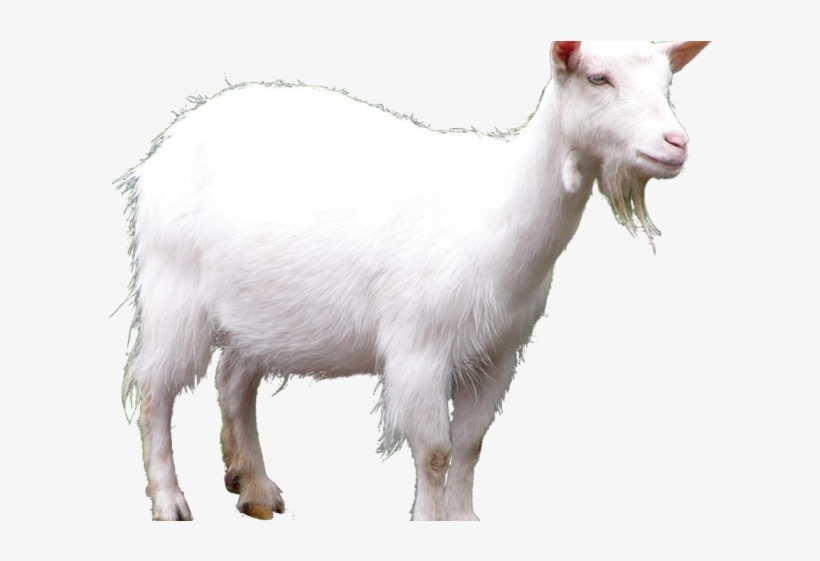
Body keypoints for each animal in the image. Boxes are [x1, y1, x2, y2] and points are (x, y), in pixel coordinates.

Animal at [115, 40, 710, 521]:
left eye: (667, 83)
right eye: (597, 78)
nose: (676, 143)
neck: (500, 204)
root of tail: (171, 139)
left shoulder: (496, 353)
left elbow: (470, 445)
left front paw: (466, 521)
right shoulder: (420, 347)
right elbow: (435, 452)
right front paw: (428, 522)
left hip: (258, 310)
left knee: (234, 381)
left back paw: (256, 489)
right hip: (174, 289)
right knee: (155, 388)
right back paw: (170, 500)